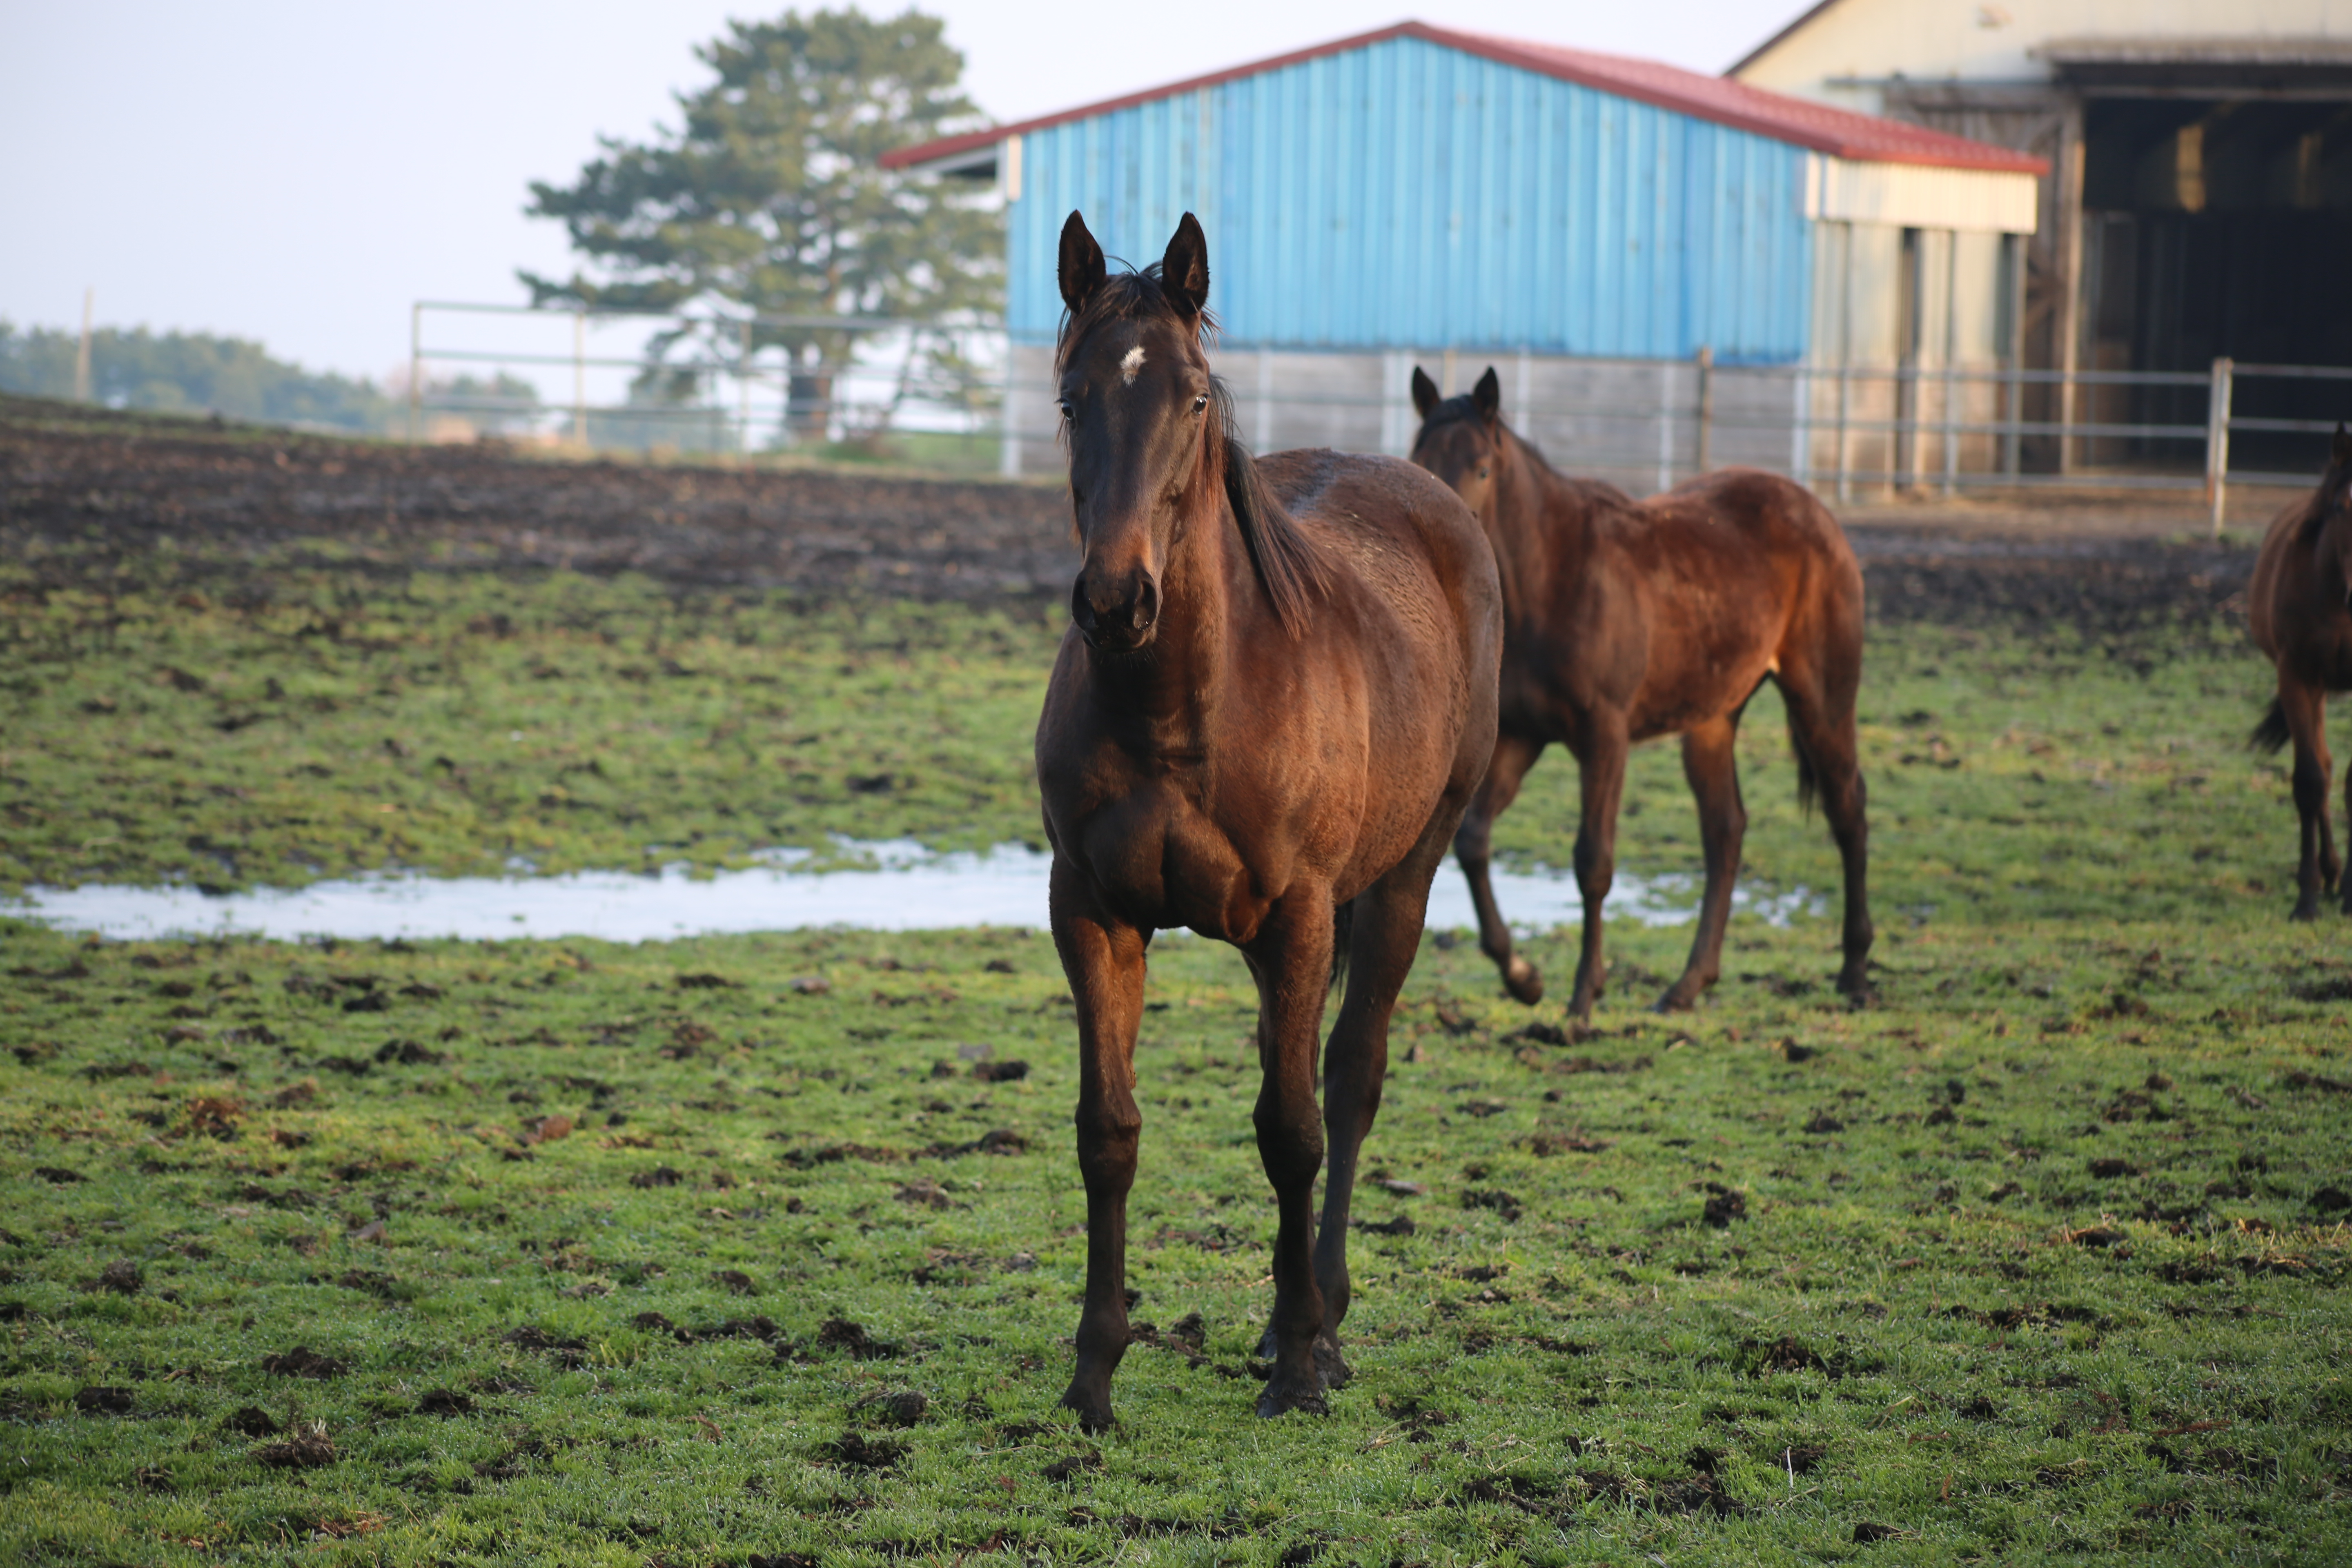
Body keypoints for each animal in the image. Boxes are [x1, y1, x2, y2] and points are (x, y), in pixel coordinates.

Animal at [1035, 217, 1496, 1439]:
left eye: (1193, 397)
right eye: (1070, 397)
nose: (1115, 601)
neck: (1182, 706)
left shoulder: (1297, 916)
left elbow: (1293, 1130)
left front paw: (1298, 1365)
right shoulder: (1089, 911)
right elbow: (1108, 1131)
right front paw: (1094, 1374)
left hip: (1399, 881)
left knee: (1350, 1076)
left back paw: (1322, 1317)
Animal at [1411, 374, 1872, 1025]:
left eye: (1481, 467)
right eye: (1419, 457)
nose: (1446, 529)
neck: (1558, 577)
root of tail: (1817, 513)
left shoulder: (1605, 736)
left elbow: (1593, 862)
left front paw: (1583, 998)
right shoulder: (1524, 737)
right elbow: (1475, 842)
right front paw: (1523, 977)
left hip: (1821, 698)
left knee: (1846, 808)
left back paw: (1854, 970)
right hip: (1712, 718)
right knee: (1725, 830)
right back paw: (1688, 985)